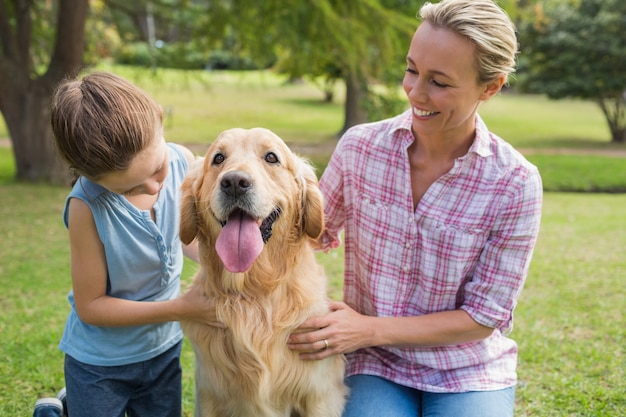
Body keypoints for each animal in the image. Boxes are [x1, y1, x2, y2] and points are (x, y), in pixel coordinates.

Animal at [179, 127, 346, 416]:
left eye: (271, 157)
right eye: (218, 158)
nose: (235, 182)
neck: (255, 293)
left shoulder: (320, 395)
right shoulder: (209, 396)